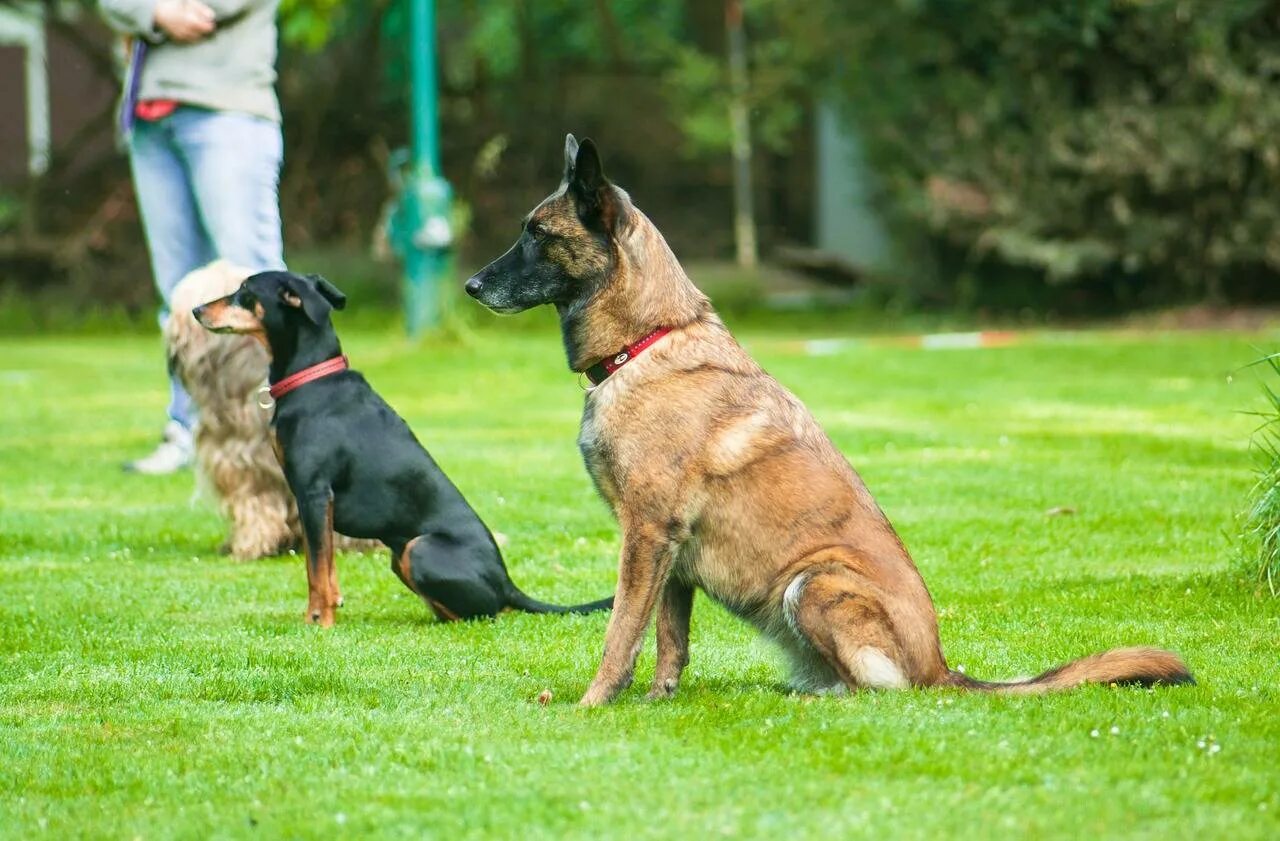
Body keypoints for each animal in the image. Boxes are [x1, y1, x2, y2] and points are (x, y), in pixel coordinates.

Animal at [192, 268, 611, 622]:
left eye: (245, 291)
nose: (196, 310)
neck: (313, 379)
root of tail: (509, 584)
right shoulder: (314, 504)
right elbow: (324, 566)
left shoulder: (313, 494)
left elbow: (316, 569)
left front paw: (318, 621)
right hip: (400, 557)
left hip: (418, 549)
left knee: (484, 615)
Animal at [463, 134, 1187, 706]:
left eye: (537, 234)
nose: (470, 285)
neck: (647, 342)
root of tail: (942, 669)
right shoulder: (670, 555)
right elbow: (669, 640)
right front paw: (657, 701)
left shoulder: (645, 535)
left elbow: (622, 634)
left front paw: (592, 704)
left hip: (814, 583)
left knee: (879, 691)